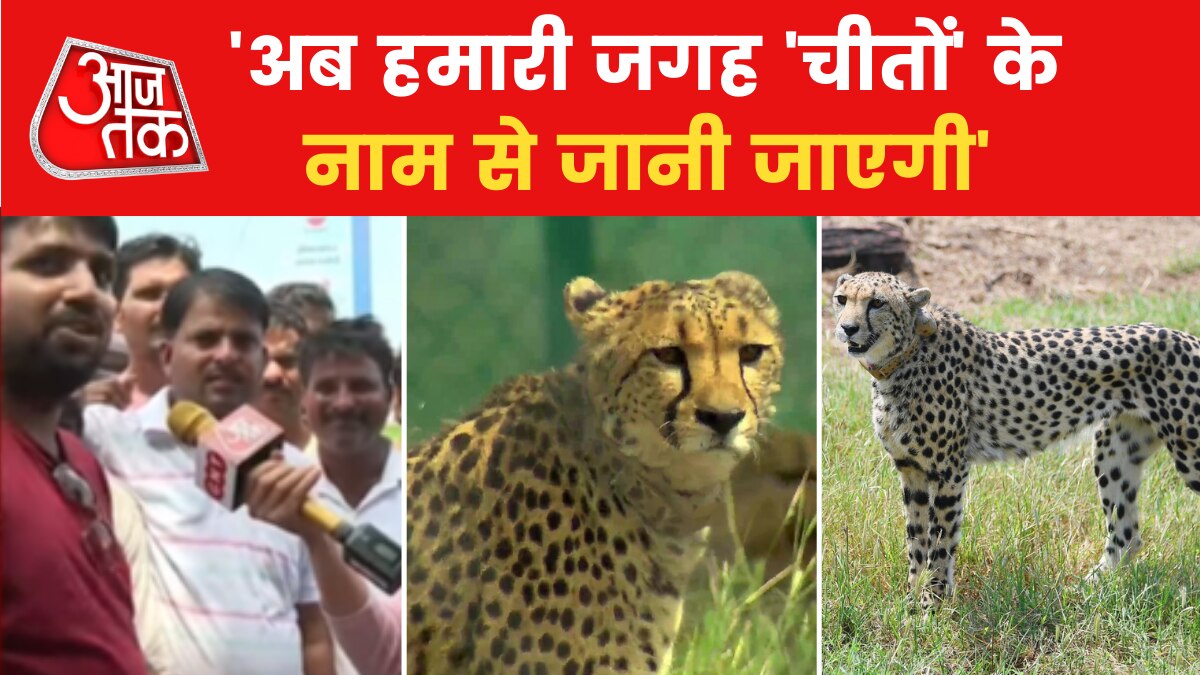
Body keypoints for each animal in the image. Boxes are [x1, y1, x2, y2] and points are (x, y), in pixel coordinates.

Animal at [831, 271, 1200, 609]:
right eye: (841, 299)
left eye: (877, 303)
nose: (847, 328)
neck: (903, 356)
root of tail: (1186, 336)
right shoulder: (912, 471)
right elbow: (916, 541)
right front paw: (910, 603)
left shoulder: (949, 470)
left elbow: (941, 540)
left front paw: (931, 605)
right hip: (1115, 448)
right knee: (1126, 535)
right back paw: (1087, 590)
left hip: (1189, 452)